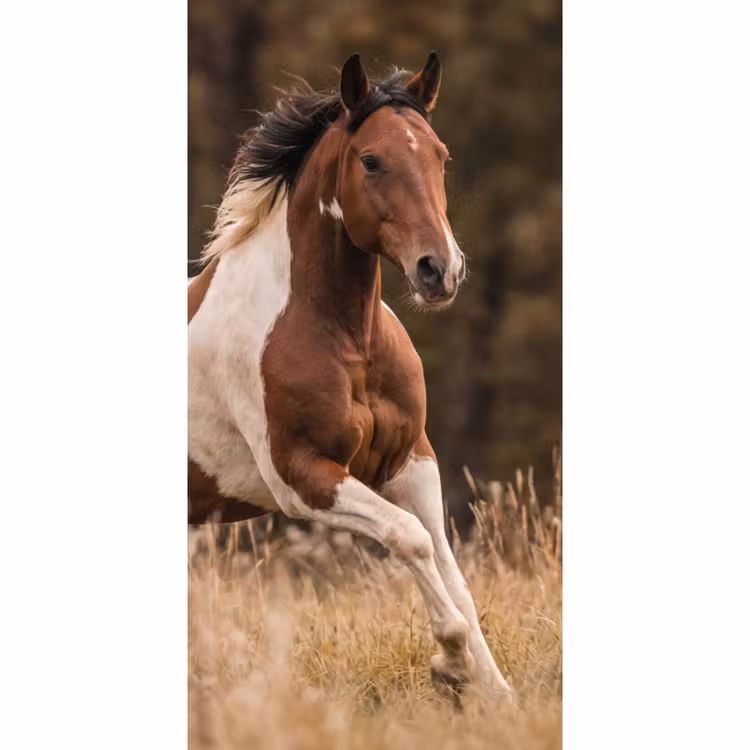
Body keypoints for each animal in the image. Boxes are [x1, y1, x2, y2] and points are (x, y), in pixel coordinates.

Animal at [188, 52, 513, 701]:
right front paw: (450, 664)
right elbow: (410, 538)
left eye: (440, 155)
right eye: (371, 160)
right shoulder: (303, 478)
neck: (346, 341)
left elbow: (451, 571)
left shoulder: (411, 461)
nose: (440, 270)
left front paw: (498, 695)